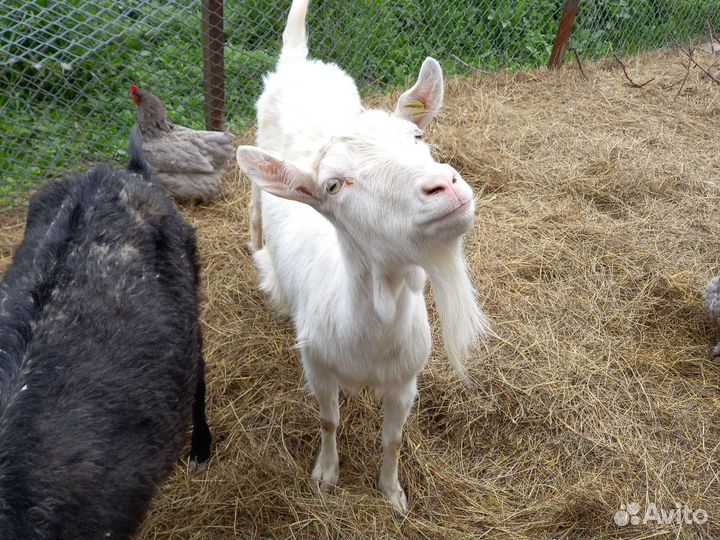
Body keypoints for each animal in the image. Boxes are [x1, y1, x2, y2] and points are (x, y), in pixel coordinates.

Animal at [236, 0, 490, 513]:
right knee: (253, 203)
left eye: (417, 136)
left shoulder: (405, 380)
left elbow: (393, 440)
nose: (445, 184)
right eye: (334, 185)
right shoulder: (317, 364)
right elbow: (329, 421)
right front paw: (326, 475)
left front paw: (392, 494)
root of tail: (298, 61)